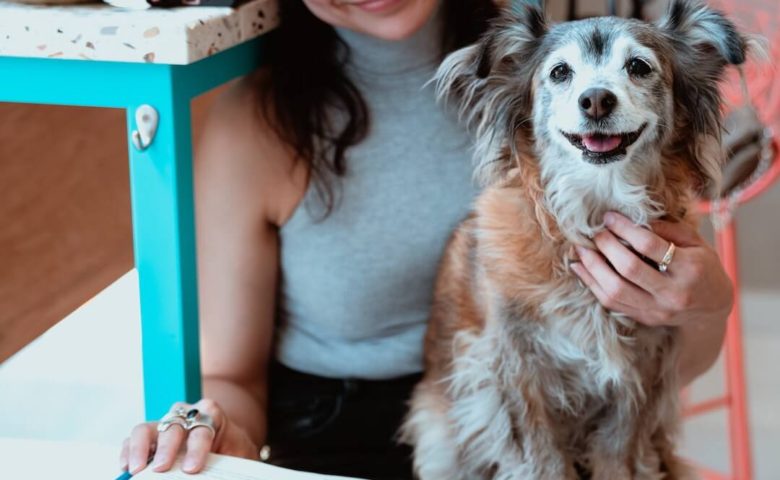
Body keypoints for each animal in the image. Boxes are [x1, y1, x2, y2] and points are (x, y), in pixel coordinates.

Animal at [400, 0, 752, 480]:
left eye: (639, 67)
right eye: (560, 72)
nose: (596, 99)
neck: (598, 207)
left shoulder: (640, 368)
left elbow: (618, 454)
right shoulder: (513, 368)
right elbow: (541, 456)